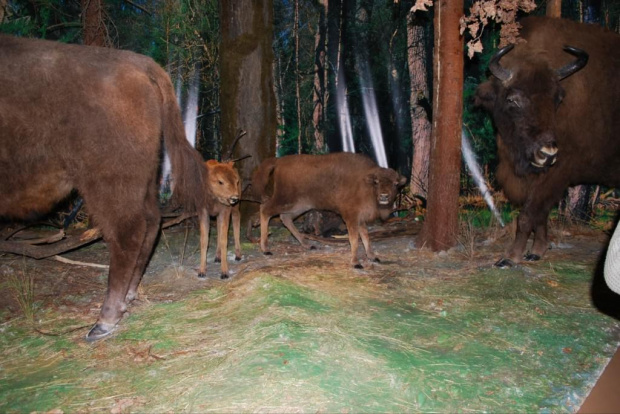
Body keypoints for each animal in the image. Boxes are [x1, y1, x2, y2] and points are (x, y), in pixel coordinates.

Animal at [0, 34, 208, 340]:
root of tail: (140, 63)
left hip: (105, 181)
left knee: (127, 231)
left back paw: (104, 320)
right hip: (143, 180)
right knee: (151, 222)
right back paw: (128, 296)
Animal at [252, 152, 406, 268]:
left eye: (395, 183)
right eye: (376, 182)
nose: (384, 196)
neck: (365, 183)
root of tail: (279, 160)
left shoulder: (360, 218)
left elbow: (365, 236)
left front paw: (373, 256)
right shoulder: (351, 217)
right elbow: (354, 239)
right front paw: (355, 263)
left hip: (300, 205)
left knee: (285, 218)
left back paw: (307, 244)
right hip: (285, 200)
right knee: (265, 209)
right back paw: (266, 249)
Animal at [474, 16, 620, 266]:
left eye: (558, 98)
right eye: (513, 99)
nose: (547, 153)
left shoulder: (557, 173)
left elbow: (528, 214)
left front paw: (510, 257)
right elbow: (538, 214)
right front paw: (536, 251)